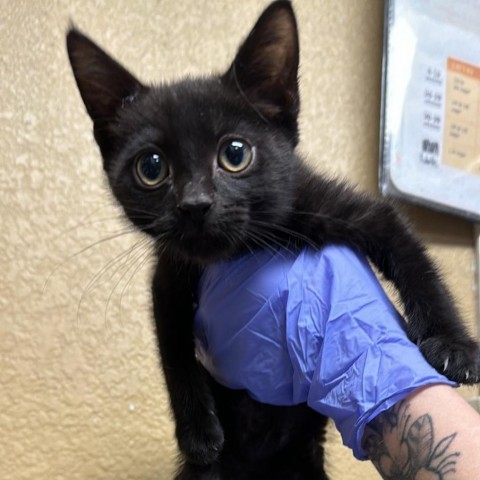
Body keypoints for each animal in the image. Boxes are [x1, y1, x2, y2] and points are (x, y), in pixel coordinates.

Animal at [64, 1, 480, 478]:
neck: (243, 250)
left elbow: (414, 259)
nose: (195, 204)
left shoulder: (340, 206)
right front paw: (198, 434)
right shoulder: (168, 274)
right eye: (151, 167)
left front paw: (454, 346)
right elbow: (173, 350)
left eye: (235, 154)